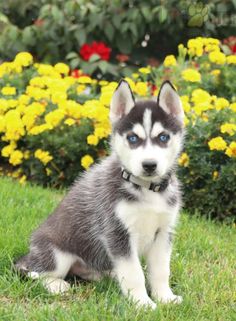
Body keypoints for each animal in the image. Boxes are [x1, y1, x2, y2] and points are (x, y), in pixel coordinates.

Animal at [15, 79, 184, 308]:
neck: (147, 190)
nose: (149, 165)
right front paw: (142, 303)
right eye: (132, 138)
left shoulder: (164, 232)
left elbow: (160, 270)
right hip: (56, 254)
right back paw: (56, 285)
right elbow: (134, 273)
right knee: (34, 272)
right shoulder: (117, 232)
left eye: (163, 137)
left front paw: (165, 297)